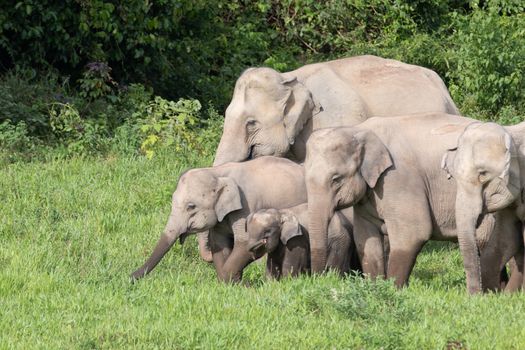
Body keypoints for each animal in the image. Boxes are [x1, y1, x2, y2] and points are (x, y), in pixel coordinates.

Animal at [128, 156, 304, 282]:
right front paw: (228, 283)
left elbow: (244, 242)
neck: (217, 173)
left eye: (191, 206)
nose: (129, 277)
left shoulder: (246, 206)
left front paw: (231, 281)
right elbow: (219, 243)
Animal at [304, 113, 520, 292]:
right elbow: (365, 237)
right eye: (306, 178)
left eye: (336, 179)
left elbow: (412, 233)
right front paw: (375, 288)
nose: (318, 280)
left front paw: (393, 290)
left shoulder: (399, 179)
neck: (359, 129)